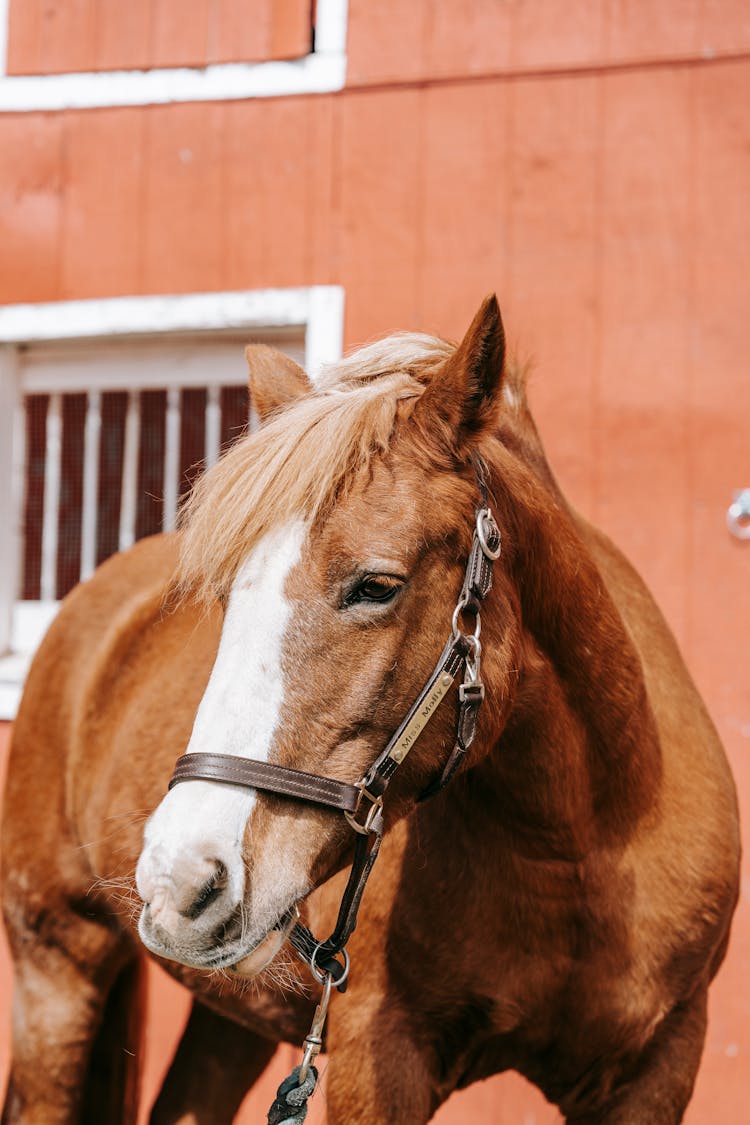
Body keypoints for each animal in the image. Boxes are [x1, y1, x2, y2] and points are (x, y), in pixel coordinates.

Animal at [0, 299, 737, 1125]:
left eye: (377, 585)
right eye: (223, 597)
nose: (180, 878)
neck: (577, 851)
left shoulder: (657, 1068)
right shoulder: (376, 1060)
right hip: (57, 963)